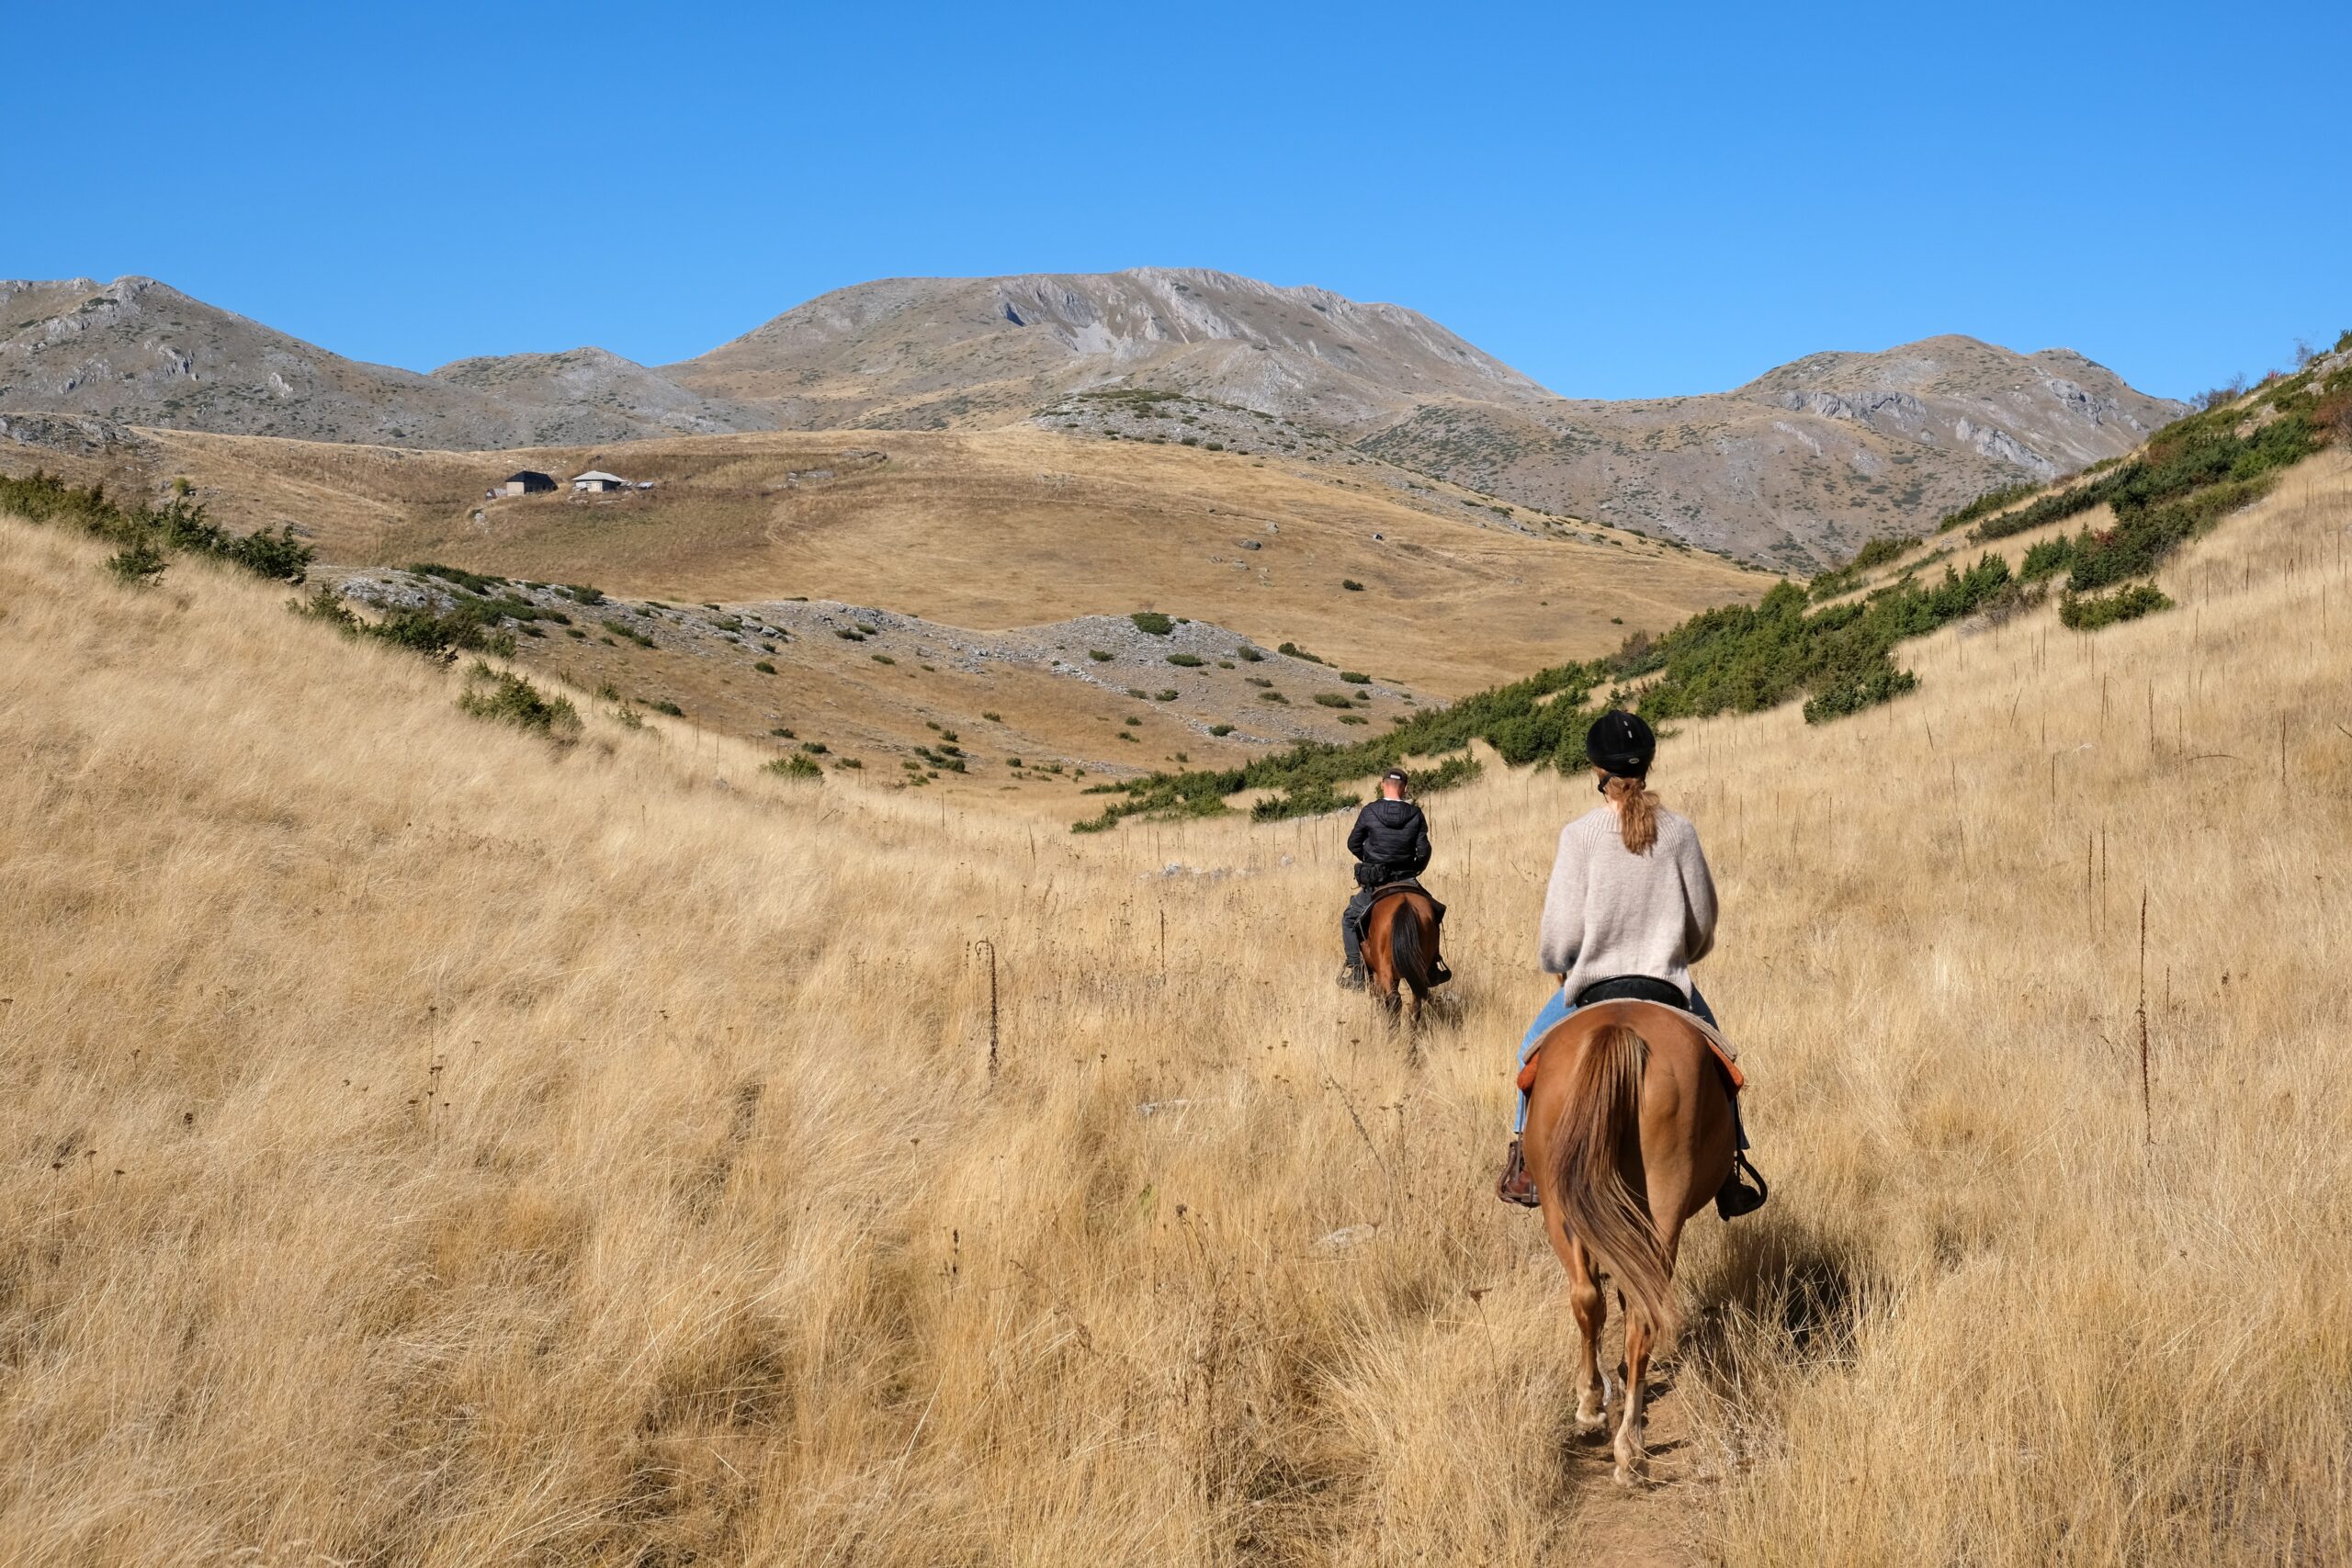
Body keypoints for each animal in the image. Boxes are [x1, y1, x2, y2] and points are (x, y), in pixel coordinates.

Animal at [1522, 999, 1737, 1484]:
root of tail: (1618, 1028)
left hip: (1567, 1207)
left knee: (1599, 1301)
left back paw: (1607, 1425)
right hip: (1647, 1208)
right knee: (1619, 1307)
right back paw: (1624, 1441)